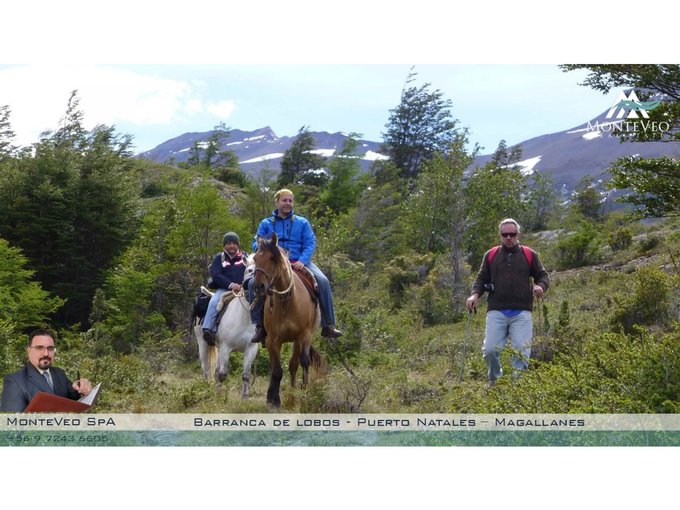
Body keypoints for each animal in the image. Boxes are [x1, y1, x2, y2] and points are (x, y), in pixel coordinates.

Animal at [193, 260, 258, 398]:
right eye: (249, 270)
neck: (243, 317)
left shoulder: (251, 349)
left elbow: (246, 375)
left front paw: (245, 396)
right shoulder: (226, 347)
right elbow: (222, 375)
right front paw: (219, 395)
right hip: (203, 343)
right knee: (205, 369)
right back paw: (205, 387)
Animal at [252, 232, 321, 407]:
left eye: (272, 258)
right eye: (255, 258)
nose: (258, 287)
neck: (287, 302)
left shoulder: (304, 336)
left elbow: (303, 362)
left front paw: (303, 394)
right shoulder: (272, 340)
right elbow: (277, 370)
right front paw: (274, 400)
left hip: (296, 341)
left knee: (293, 365)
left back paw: (292, 396)